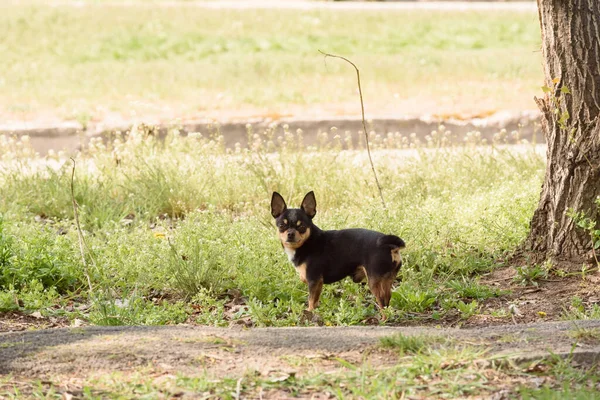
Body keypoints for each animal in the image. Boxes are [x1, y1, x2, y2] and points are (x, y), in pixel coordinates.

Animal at [270, 191, 404, 312]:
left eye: (301, 226)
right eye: (281, 226)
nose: (290, 233)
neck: (307, 243)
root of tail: (389, 245)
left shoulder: (314, 281)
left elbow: (311, 301)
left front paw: (309, 313)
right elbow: (315, 301)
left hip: (374, 281)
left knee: (382, 304)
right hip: (386, 280)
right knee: (387, 301)